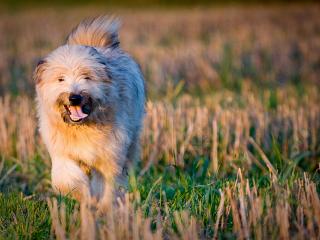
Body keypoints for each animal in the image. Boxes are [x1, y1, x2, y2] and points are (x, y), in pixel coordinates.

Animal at [33, 15, 145, 210]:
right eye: (61, 79)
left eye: (87, 76)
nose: (74, 97)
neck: (82, 128)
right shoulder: (62, 152)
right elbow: (67, 178)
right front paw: (83, 196)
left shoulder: (109, 155)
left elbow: (106, 183)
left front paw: (105, 208)